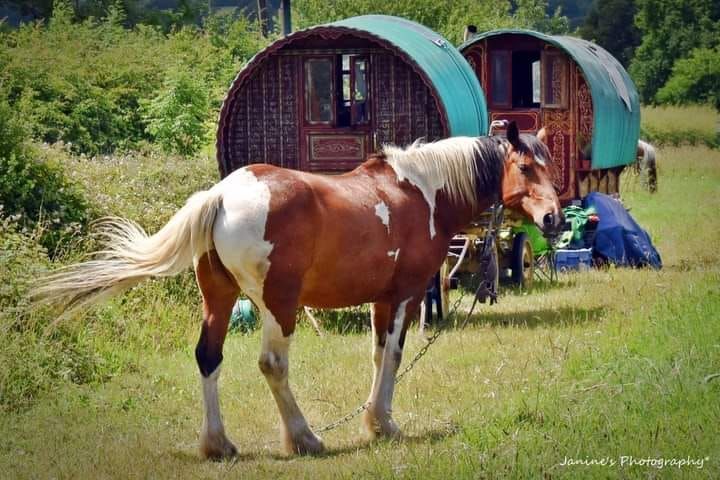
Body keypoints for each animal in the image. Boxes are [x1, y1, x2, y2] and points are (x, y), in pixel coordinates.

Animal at [33, 121, 562, 460]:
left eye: (549, 167)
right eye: (525, 168)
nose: (554, 219)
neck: (422, 192)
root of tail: (220, 194)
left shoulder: (381, 300)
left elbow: (377, 355)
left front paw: (375, 419)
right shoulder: (404, 296)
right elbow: (391, 356)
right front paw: (382, 423)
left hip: (219, 300)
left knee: (208, 358)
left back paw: (217, 445)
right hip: (279, 305)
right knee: (272, 365)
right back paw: (304, 438)